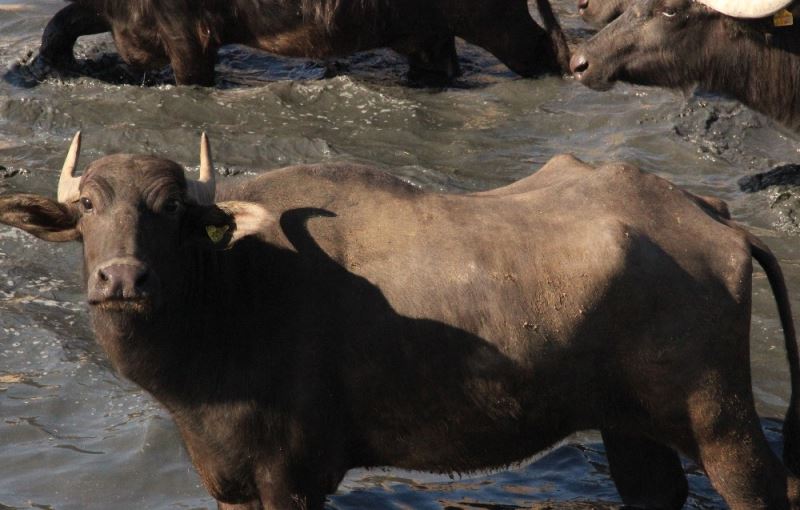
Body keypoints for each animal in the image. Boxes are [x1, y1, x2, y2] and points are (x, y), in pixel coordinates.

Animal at [1, 133, 800, 508]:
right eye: (88, 206)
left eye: (171, 210)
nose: (122, 279)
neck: (231, 297)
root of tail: (716, 219)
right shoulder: (226, 481)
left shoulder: (292, 479)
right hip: (630, 425)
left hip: (717, 418)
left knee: (764, 488)